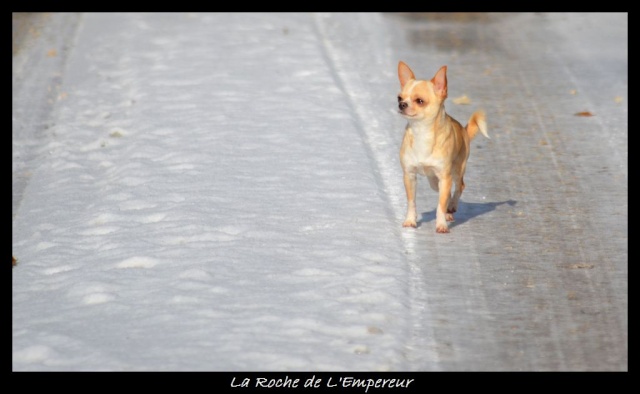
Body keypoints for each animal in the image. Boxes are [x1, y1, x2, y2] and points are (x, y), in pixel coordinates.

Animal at [396, 61, 490, 232]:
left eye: (420, 101)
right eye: (399, 98)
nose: (402, 104)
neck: (422, 132)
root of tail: (464, 130)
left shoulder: (445, 177)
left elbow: (440, 204)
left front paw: (441, 225)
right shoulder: (409, 176)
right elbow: (411, 202)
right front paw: (410, 221)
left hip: (456, 171)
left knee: (459, 187)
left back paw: (451, 207)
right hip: (434, 181)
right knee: (443, 191)